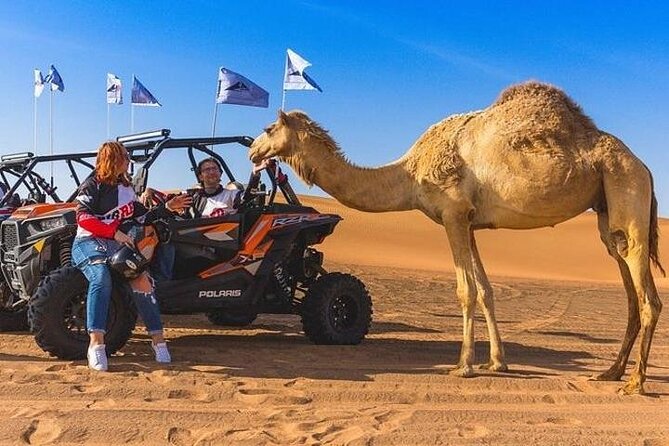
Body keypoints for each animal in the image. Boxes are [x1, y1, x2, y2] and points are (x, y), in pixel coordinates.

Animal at [249, 81, 664, 395]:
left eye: (268, 129)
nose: (253, 150)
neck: (409, 173)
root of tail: (644, 165)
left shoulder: (451, 214)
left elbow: (466, 290)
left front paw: (464, 365)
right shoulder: (470, 222)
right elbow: (486, 291)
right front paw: (497, 362)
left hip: (626, 186)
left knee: (648, 298)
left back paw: (636, 383)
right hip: (608, 209)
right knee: (628, 284)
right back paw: (610, 373)